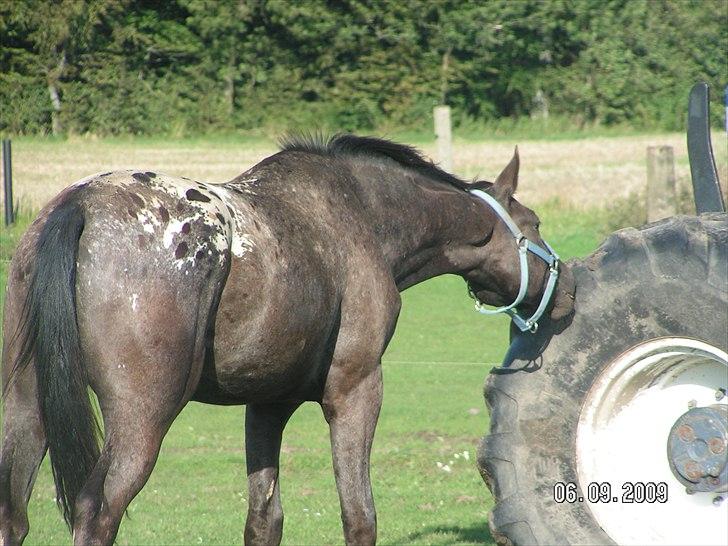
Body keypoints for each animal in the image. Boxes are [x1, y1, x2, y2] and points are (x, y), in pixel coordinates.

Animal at [0, 133, 576, 544]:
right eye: (534, 222)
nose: (567, 288)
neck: (361, 216)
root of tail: (81, 204)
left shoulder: (267, 404)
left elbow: (264, 519)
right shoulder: (355, 390)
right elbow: (359, 516)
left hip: (28, 406)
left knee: (14, 514)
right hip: (142, 419)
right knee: (97, 512)